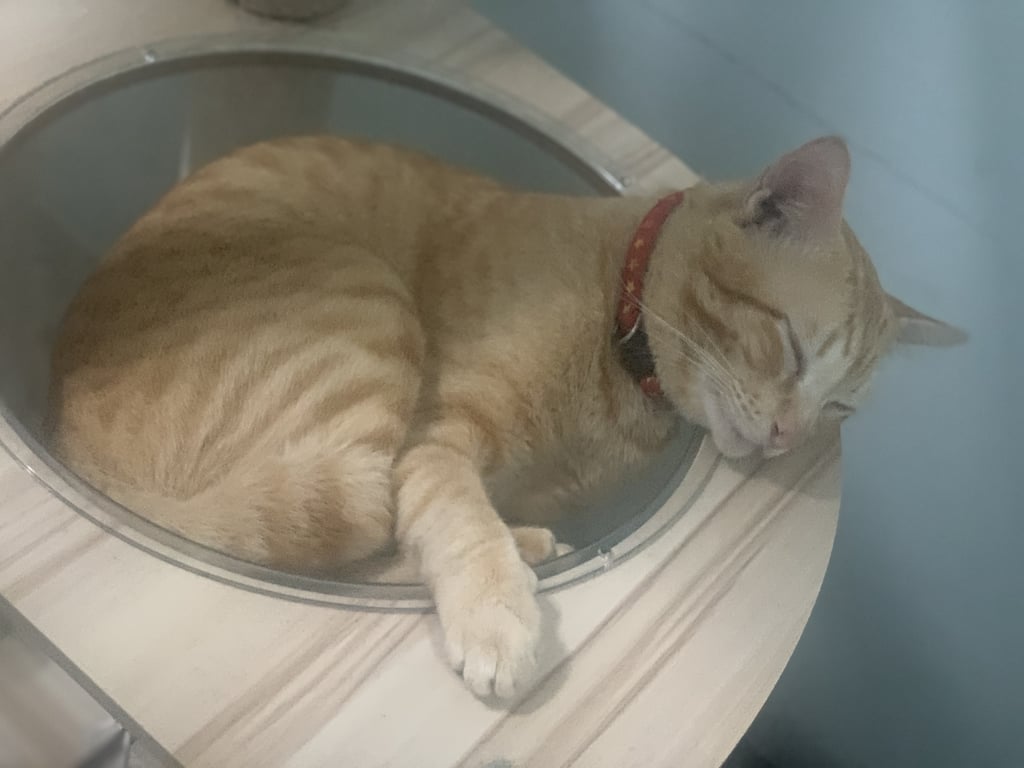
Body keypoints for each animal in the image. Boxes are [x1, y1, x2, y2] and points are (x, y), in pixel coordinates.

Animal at [46, 134, 963, 699]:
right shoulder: (434, 443)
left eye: (841, 405)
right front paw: (496, 611)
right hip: (364, 322)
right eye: (792, 348)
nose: (785, 438)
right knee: (349, 531)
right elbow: (452, 519)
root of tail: (68, 434)